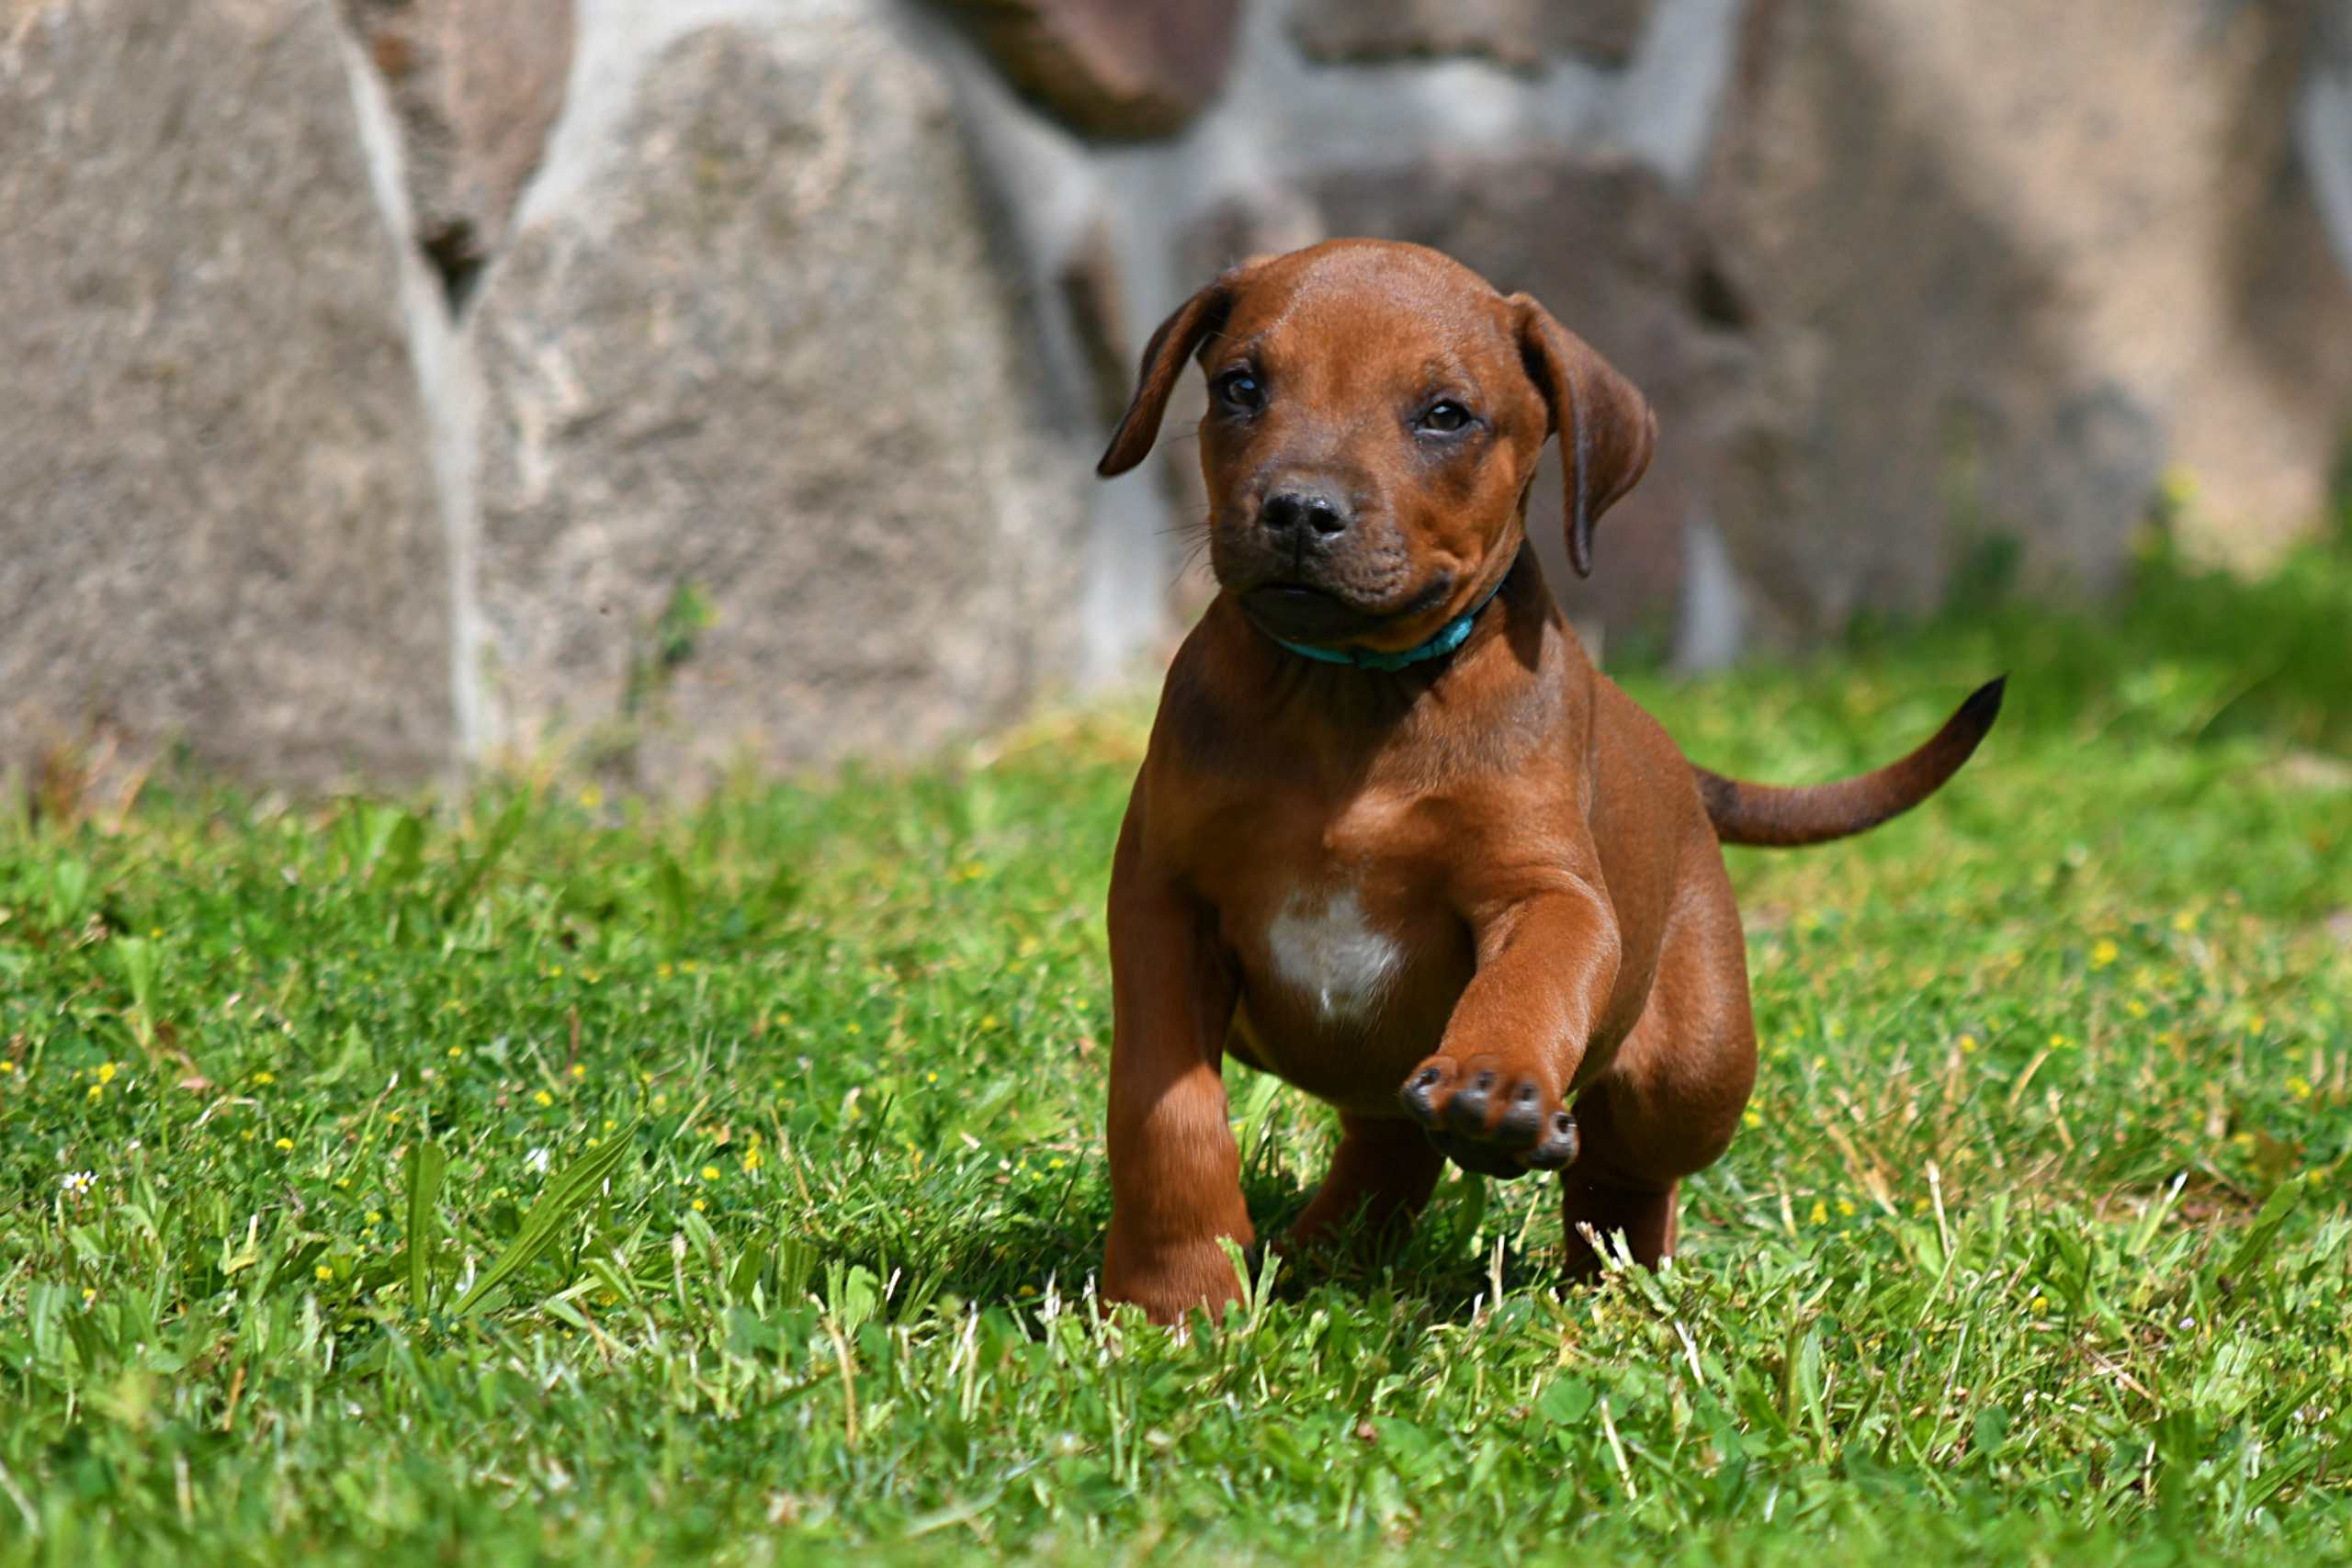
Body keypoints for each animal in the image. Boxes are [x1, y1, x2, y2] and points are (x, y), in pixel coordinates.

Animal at [1093, 239, 2000, 1324]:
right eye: (1240, 387)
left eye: (1446, 414)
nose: (1300, 511)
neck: (1349, 695)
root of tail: (1668, 750)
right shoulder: (1163, 904)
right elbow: (1166, 1117)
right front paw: (1175, 1299)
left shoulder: (1547, 891)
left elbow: (1530, 979)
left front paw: (1493, 1085)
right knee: (1390, 1141)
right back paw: (1329, 1252)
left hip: (1691, 1067)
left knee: (1627, 1173)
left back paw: (1615, 1291)